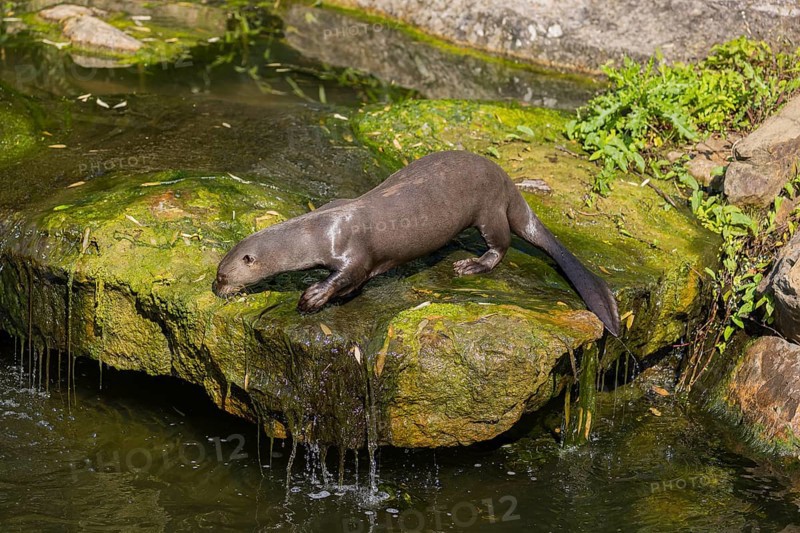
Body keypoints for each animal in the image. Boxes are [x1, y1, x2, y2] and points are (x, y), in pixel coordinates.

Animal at [213, 151, 620, 336]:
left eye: (221, 275)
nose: (216, 290)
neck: (317, 230)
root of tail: (510, 184)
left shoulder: (352, 251)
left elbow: (347, 275)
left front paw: (312, 298)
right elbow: (355, 282)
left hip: (489, 209)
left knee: (501, 244)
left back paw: (472, 265)